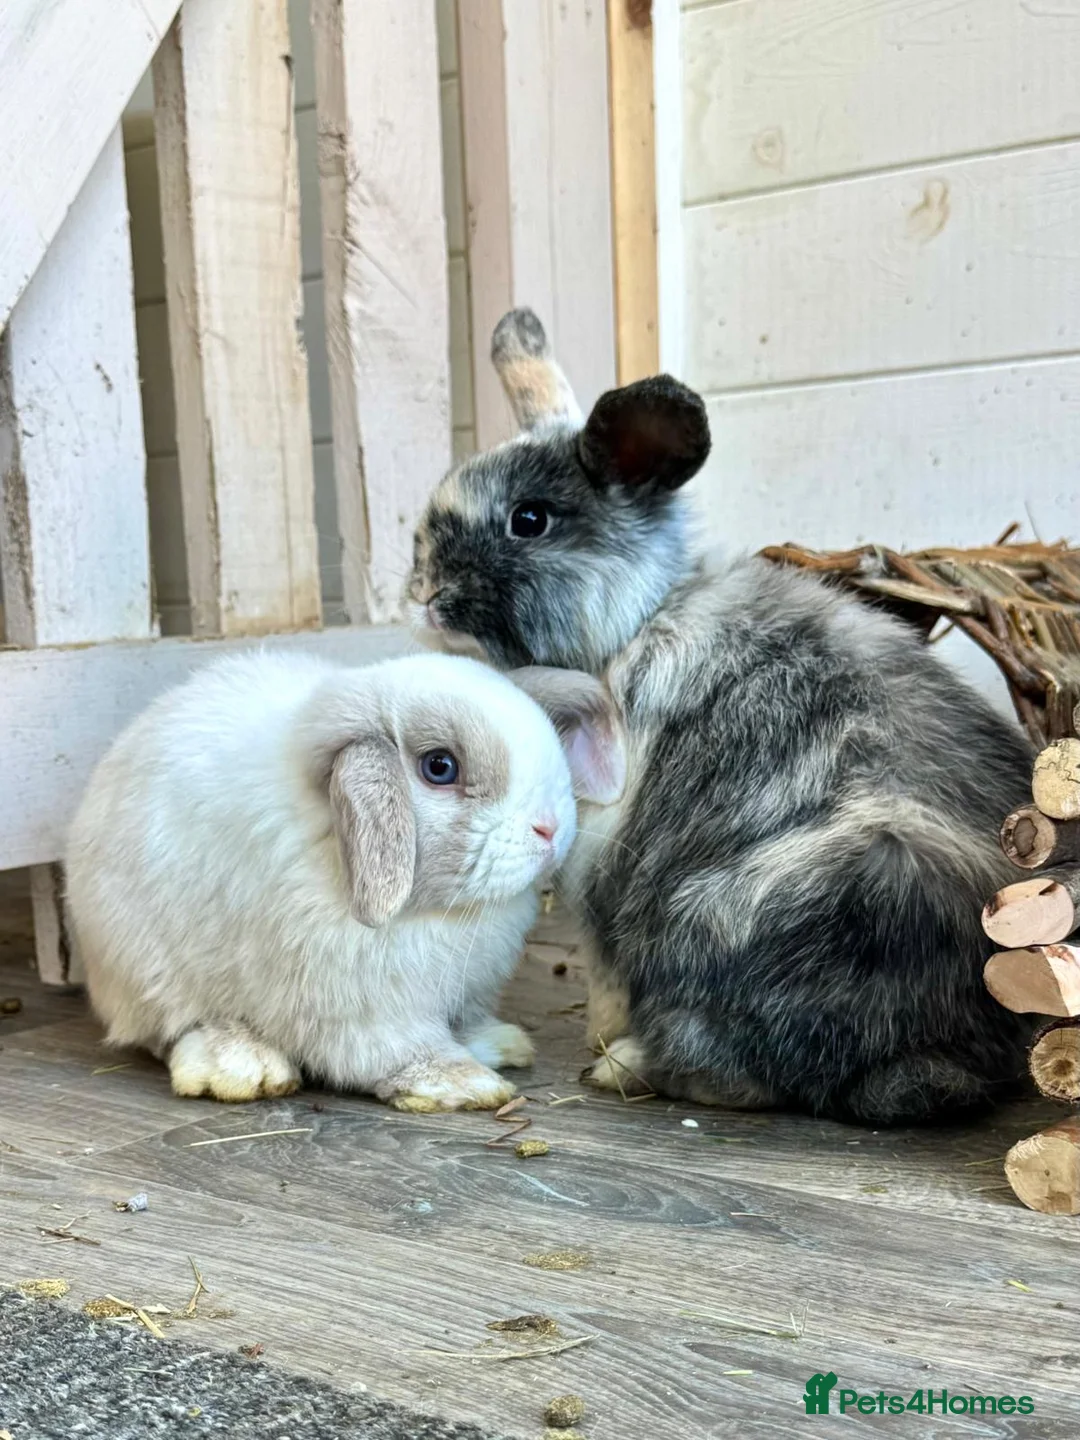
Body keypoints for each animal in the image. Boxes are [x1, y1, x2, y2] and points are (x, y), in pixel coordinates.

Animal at [65, 648, 578, 1111]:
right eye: (440, 766)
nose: (550, 828)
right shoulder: (360, 1010)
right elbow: (398, 1050)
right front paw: (463, 1083)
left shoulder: (467, 989)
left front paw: (499, 1043)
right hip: (150, 969)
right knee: (175, 1027)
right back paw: (240, 1066)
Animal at [405, 306, 1037, 1127]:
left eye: (530, 520)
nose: (424, 593)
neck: (634, 623)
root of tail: (932, 1056)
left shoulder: (600, 859)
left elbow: (605, 969)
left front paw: (601, 1034)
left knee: (738, 1071)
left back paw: (622, 1064)